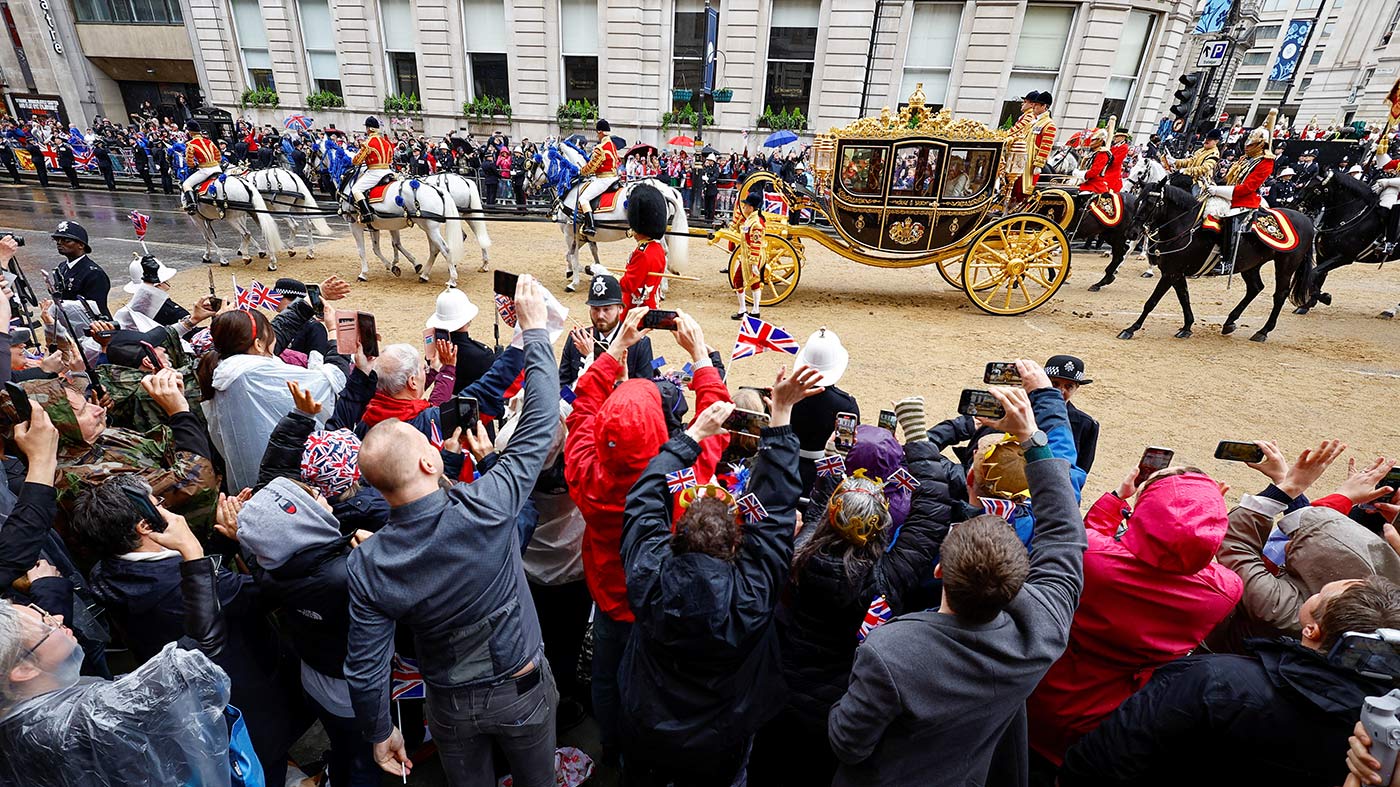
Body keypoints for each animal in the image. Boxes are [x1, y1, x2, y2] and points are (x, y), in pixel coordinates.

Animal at [336, 165, 467, 284]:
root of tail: (437, 190)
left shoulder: (354, 225)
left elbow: (362, 250)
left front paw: (363, 274)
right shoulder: (377, 226)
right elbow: (380, 248)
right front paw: (394, 266)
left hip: (430, 228)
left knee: (445, 249)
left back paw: (452, 280)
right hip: (428, 228)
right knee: (435, 249)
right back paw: (424, 275)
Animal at [526, 140, 688, 291]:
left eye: (533, 164)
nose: (525, 186)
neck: (573, 188)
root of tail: (665, 191)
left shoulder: (570, 233)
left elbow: (573, 256)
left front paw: (575, 282)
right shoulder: (585, 235)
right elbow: (585, 255)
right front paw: (588, 271)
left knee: (663, 252)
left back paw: (662, 286)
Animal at [1114, 182, 1310, 344]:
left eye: (1150, 203)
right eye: (1137, 201)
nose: (1131, 233)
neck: (1184, 226)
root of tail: (1307, 220)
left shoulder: (1171, 274)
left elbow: (1152, 301)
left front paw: (1130, 329)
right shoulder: (1176, 273)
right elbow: (1184, 298)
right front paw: (1187, 327)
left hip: (1285, 267)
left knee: (1280, 295)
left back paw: (1263, 331)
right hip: (1250, 265)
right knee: (1255, 288)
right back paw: (1229, 322)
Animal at [1293, 168, 1394, 312]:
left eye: (1315, 188)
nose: (1293, 205)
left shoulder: (1344, 257)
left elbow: (1313, 274)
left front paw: (1326, 298)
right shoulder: (1322, 255)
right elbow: (1318, 276)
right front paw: (1307, 305)